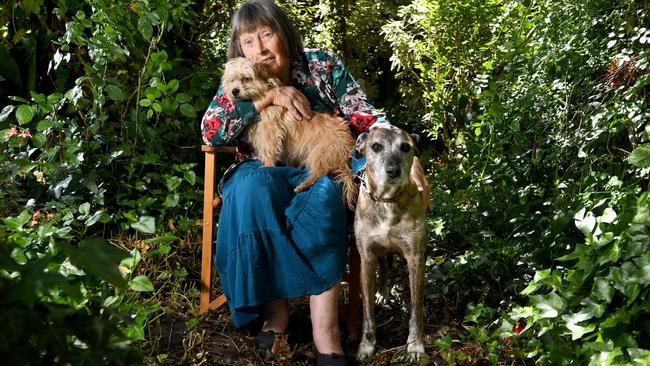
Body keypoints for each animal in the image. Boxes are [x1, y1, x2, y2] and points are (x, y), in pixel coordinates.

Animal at [221, 58, 354, 210]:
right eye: (232, 80)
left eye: (246, 78)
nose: (234, 91)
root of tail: (348, 147)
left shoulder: (271, 133)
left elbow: (269, 152)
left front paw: (267, 166)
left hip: (320, 152)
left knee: (320, 172)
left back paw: (303, 185)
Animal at [352, 127, 428, 362]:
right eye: (376, 146)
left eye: (405, 147)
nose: (393, 171)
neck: (387, 201)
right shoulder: (366, 258)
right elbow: (367, 312)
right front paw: (366, 346)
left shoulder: (415, 258)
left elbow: (416, 308)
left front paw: (415, 345)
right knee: (384, 265)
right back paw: (383, 292)